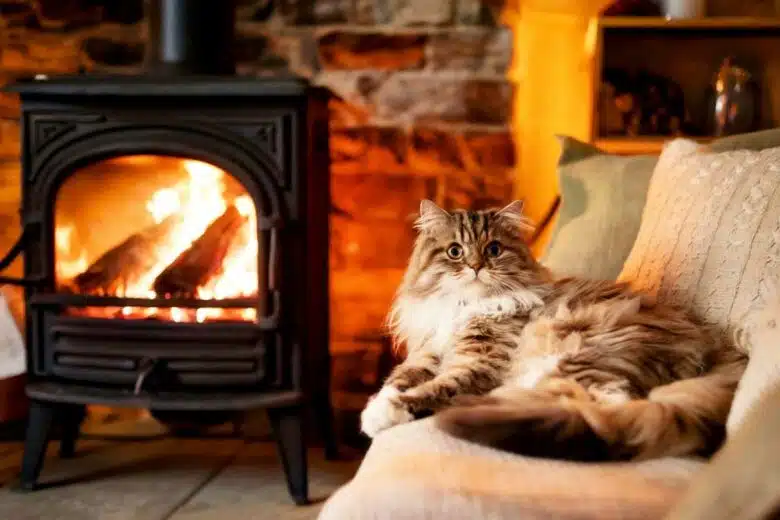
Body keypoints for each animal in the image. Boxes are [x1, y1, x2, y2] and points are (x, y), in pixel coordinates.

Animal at [362, 199, 748, 460]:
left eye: (494, 249)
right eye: (455, 252)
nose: (475, 267)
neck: (464, 306)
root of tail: (716, 347)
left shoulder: (480, 360)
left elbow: (438, 385)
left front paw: (389, 411)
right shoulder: (427, 352)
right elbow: (398, 380)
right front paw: (376, 409)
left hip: (576, 353)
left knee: (596, 405)